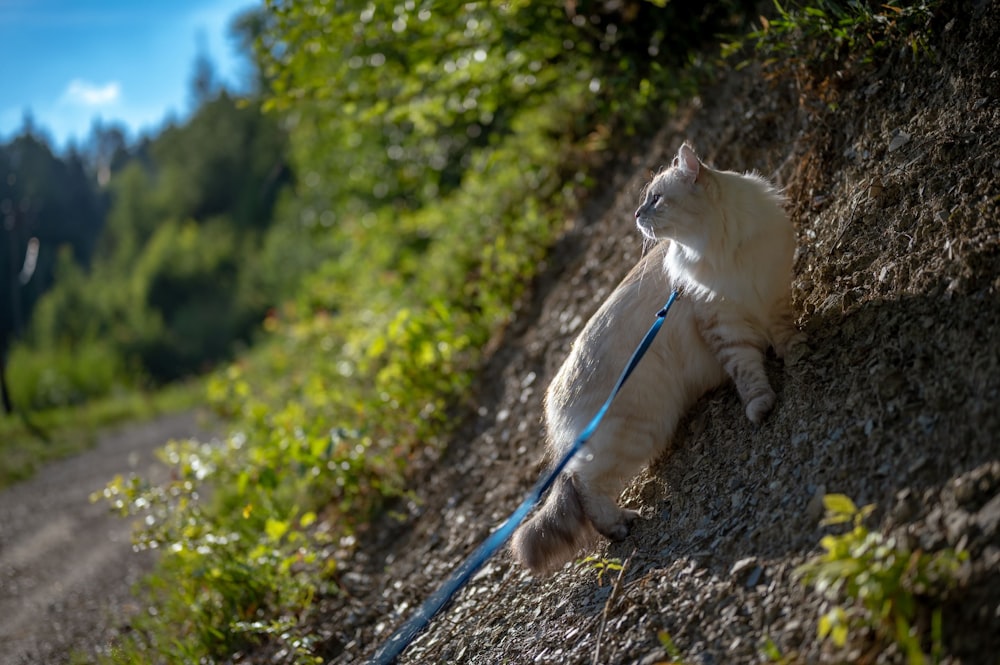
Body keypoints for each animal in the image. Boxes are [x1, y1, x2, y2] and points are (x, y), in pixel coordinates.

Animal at [512, 143, 800, 572]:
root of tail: (551, 402)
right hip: (639, 429)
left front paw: (798, 352)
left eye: (656, 199)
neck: (720, 247)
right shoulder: (722, 322)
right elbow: (748, 373)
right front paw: (762, 405)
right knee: (585, 485)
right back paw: (620, 525)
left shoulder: (771, 294)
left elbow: (784, 334)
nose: (636, 214)